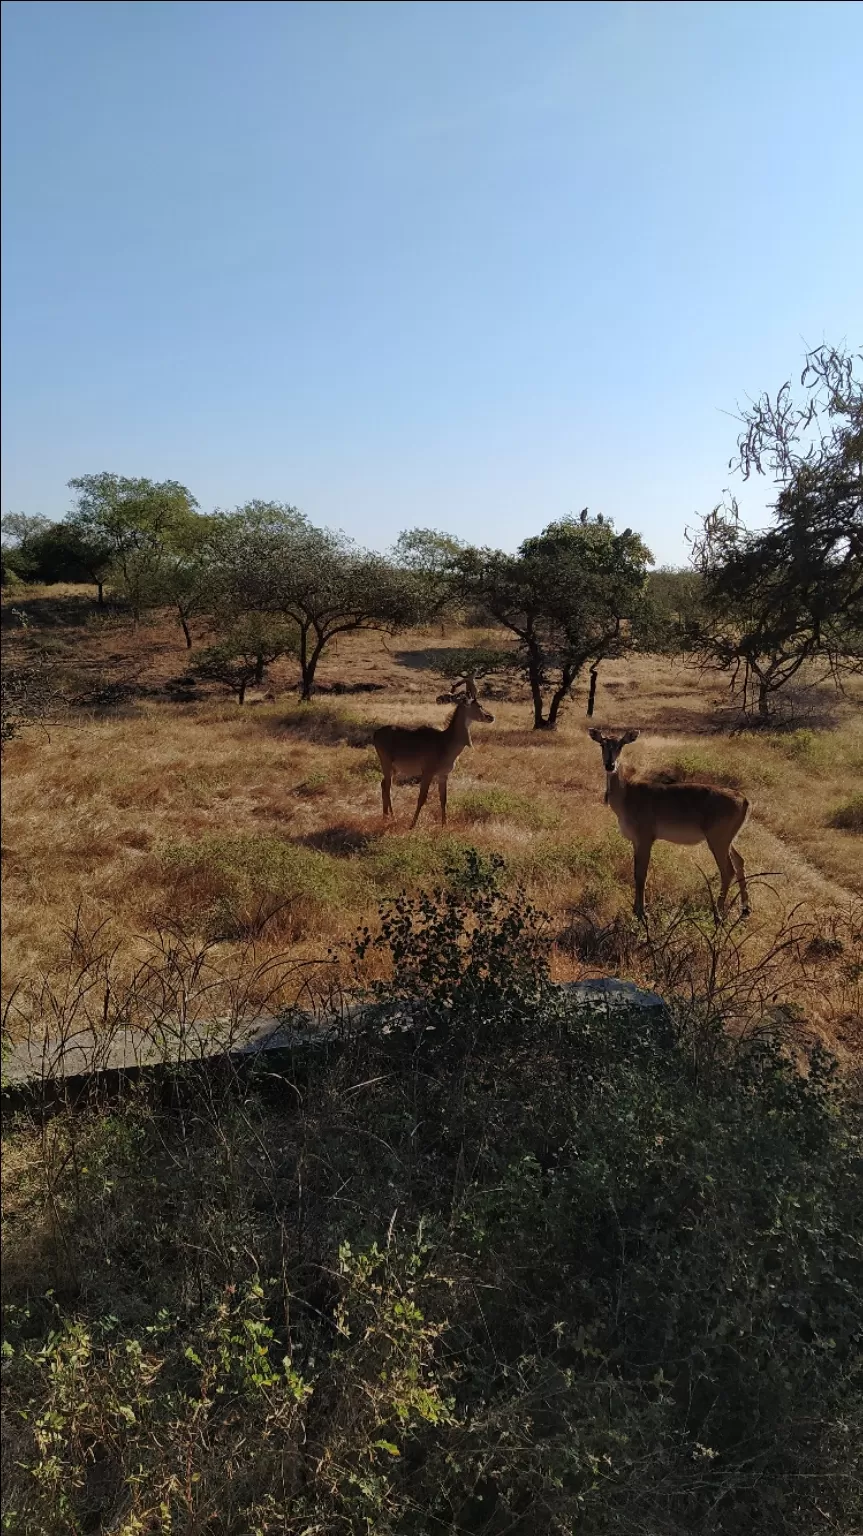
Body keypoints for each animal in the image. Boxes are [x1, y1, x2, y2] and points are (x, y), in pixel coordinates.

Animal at [371, 678, 497, 829]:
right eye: (478, 705)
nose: (491, 717)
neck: (446, 742)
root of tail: (375, 734)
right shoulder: (427, 772)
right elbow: (422, 798)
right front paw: (412, 825)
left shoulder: (443, 775)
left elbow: (443, 799)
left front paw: (444, 825)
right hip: (386, 763)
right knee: (387, 786)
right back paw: (392, 817)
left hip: (394, 768)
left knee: (383, 784)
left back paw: (385, 816)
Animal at [586, 724, 749, 915]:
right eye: (602, 744)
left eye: (620, 745)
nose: (610, 765)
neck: (627, 795)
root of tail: (744, 800)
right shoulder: (635, 840)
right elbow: (635, 872)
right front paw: (635, 909)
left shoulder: (646, 837)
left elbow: (642, 874)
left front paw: (642, 912)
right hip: (728, 839)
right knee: (739, 861)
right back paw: (745, 908)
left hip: (718, 839)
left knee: (728, 870)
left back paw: (718, 912)